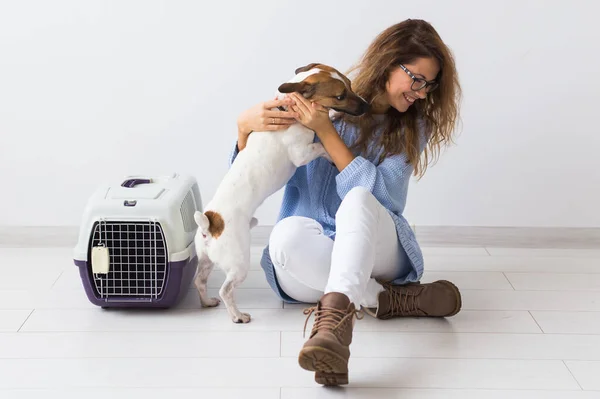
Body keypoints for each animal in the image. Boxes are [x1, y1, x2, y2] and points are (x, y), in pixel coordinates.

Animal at [195, 63, 368, 324]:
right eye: (340, 96)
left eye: (350, 85)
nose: (367, 105)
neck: (287, 108)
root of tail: (210, 224)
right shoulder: (302, 153)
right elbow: (320, 146)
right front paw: (330, 155)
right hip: (239, 263)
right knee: (226, 290)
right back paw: (238, 316)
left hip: (205, 261)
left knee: (200, 281)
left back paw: (206, 302)